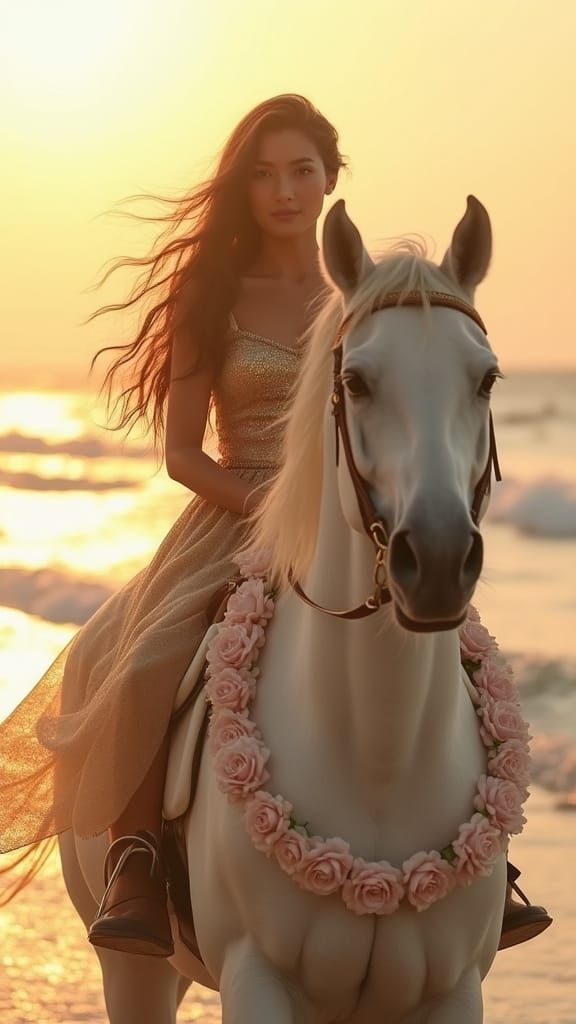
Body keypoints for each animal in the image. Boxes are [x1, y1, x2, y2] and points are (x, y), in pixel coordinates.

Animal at [60, 195, 510, 1023]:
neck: (379, 751)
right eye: (356, 382)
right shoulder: (256, 975)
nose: (434, 562)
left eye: (487, 379)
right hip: (132, 968)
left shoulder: (453, 988)